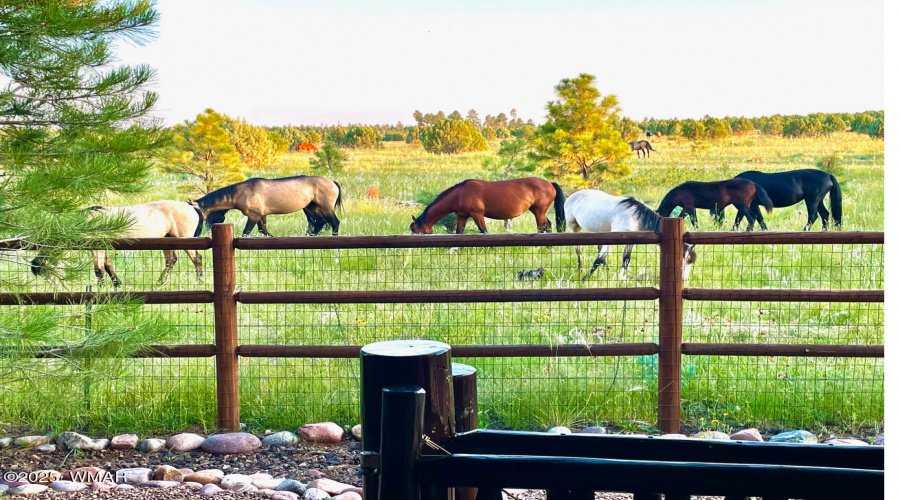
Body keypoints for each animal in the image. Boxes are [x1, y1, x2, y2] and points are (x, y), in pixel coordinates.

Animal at [31, 200, 204, 288]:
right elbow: (108, 266)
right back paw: (159, 283)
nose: (35, 267)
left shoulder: (97, 248)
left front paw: (101, 288)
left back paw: (199, 282)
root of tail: (191, 206)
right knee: (171, 261)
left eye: (47, 247)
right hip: (167, 240)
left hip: (184, 240)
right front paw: (117, 284)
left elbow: (99, 269)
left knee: (197, 259)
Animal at [408, 178, 564, 234]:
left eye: (416, 230)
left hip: (539, 212)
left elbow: (484, 231)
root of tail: (550, 183)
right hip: (539, 212)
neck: (460, 193)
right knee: (548, 226)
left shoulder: (477, 215)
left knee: (542, 227)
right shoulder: (462, 216)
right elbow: (459, 232)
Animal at [568, 189, 700, 280]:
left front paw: (620, 278)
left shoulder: (631, 242)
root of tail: (572, 196)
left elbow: (626, 259)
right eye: (686, 259)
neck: (635, 216)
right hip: (574, 228)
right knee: (579, 250)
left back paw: (606, 270)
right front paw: (585, 279)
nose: (684, 278)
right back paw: (580, 269)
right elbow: (598, 259)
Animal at [712, 168, 844, 230]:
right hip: (818, 201)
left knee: (813, 216)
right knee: (825, 215)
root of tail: (828, 175)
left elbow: (757, 218)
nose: (716, 225)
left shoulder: (752, 205)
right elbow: (741, 219)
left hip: (812, 200)